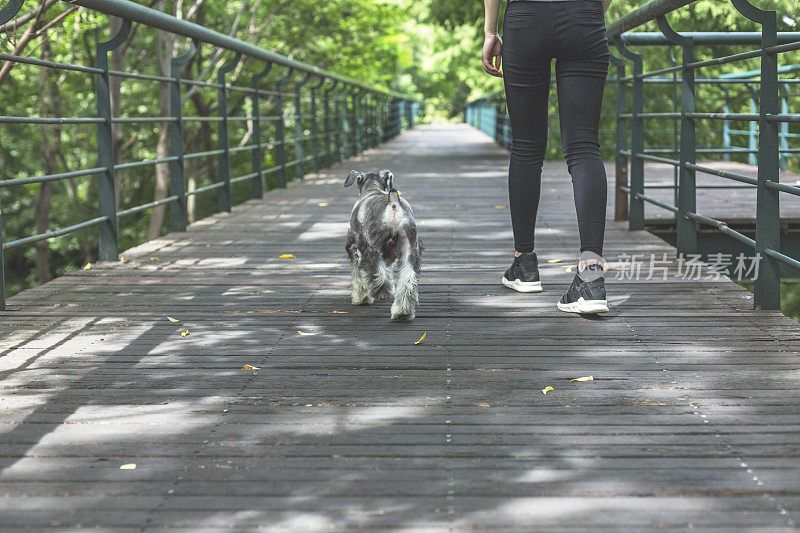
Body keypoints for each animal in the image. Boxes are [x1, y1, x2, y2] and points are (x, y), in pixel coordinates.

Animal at [346, 169, 422, 320]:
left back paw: (382, 291)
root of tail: (393, 203)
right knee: (408, 278)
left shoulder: (356, 247)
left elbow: (359, 274)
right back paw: (402, 312)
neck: (371, 189)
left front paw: (361, 298)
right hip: (410, 249)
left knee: (376, 271)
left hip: (371, 245)